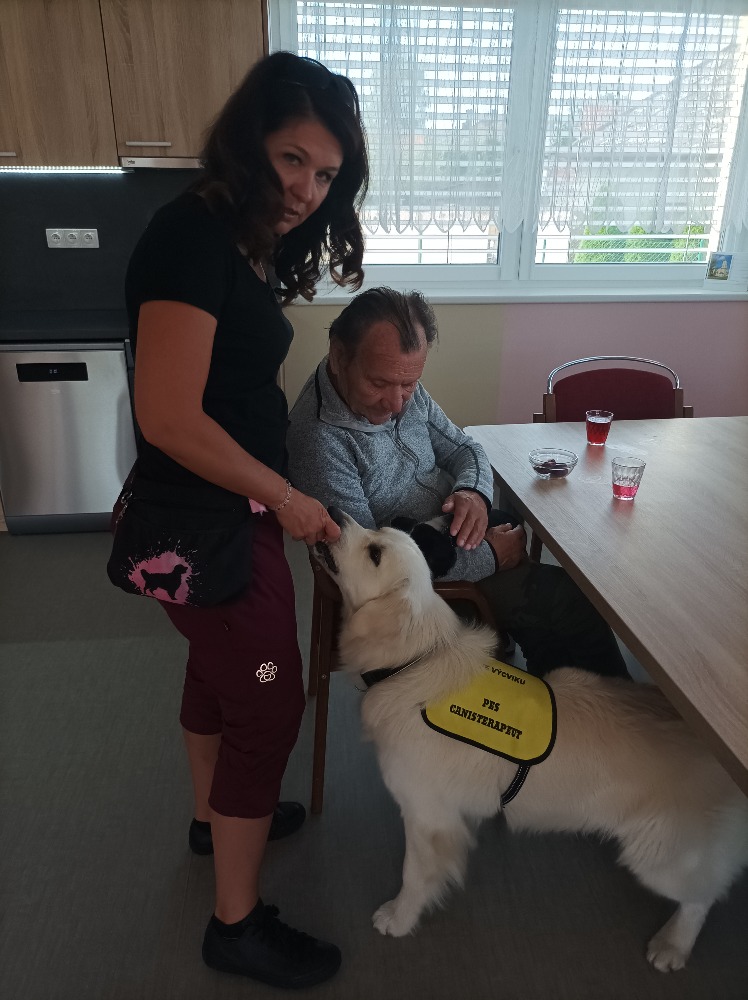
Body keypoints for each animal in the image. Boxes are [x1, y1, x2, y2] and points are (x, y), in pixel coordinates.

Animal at [314, 508, 748, 971]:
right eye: (377, 531)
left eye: (375, 552)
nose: (333, 513)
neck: (414, 661)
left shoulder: (426, 815)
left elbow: (414, 875)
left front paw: (399, 918)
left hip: (658, 855)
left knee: (704, 895)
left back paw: (672, 945)